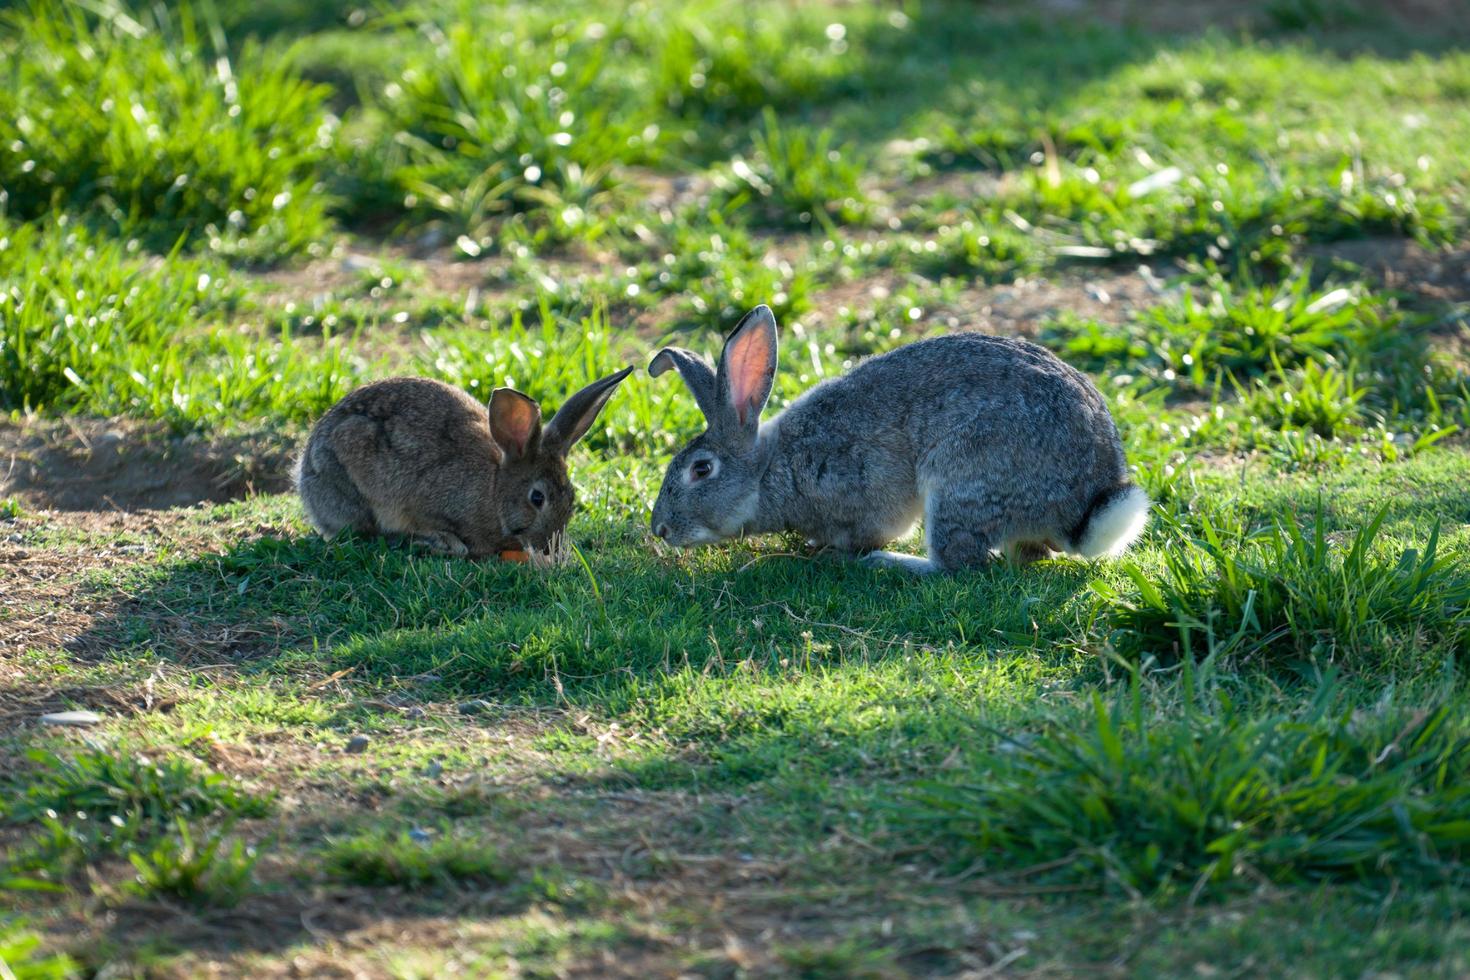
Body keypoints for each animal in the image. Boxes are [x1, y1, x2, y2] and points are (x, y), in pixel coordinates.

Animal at [295, 367, 635, 555]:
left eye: (572, 498)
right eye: (537, 498)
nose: (550, 547)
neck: (494, 491)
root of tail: (304, 477)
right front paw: (445, 543)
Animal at [646, 307, 1146, 575]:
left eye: (701, 470)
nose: (660, 530)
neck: (770, 468)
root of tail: (1079, 510)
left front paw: (836, 550)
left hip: (961, 479)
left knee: (957, 563)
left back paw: (890, 562)